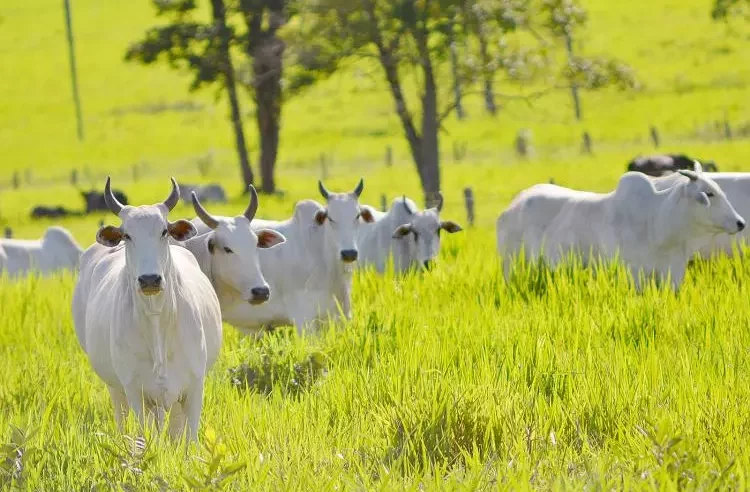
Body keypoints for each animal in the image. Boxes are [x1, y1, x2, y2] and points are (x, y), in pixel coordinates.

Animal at [72, 176, 225, 442]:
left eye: (164, 231)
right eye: (127, 235)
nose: (150, 279)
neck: (157, 322)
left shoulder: (194, 387)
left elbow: (188, 438)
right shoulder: (136, 392)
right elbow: (147, 437)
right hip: (116, 388)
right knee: (123, 418)